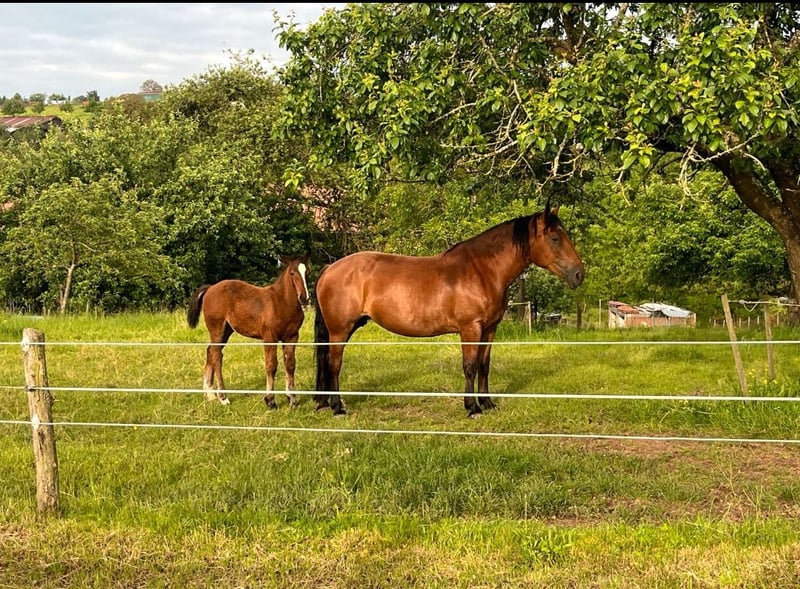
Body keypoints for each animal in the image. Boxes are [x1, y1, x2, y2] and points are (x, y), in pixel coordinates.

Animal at [186, 254, 310, 407]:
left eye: (307, 272)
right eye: (292, 273)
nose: (304, 298)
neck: (281, 303)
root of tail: (210, 288)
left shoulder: (292, 337)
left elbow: (290, 365)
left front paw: (292, 399)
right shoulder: (270, 337)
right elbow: (271, 365)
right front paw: (270, 400)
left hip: (226, 331)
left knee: (210, 351)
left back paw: (210, 394)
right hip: (217, 328)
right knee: (216, 355)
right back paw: (223, 397)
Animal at [312, 203, 584, 417]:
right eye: (555, 238)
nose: (579, 274)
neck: (482, 271)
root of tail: (330, 268)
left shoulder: (489, 329)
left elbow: (484, 365)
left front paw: (487, 403)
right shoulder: (470, 329)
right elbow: (470, 366)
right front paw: (472, 407)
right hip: (340, 330)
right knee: (333, 363)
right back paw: (338, 407)